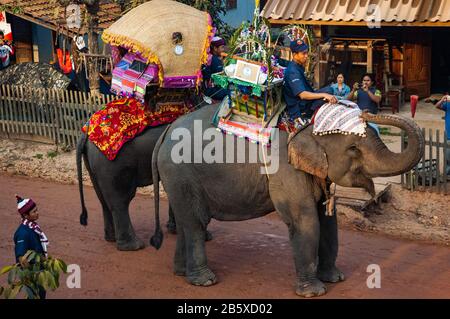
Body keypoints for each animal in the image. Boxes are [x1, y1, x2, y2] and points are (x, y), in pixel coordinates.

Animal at [151, 104, 426, 298]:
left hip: (178, 179)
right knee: (196, 224)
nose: (368, 109)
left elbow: (329, 222)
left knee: (187, 222)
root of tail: (164, 133)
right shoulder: (285, 168)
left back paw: (181, 273)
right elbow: (305, 220)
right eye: (353, 149)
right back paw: (205, 281)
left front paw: (335, 279)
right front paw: (314, 292)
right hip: (181, 173)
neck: (306, 125)